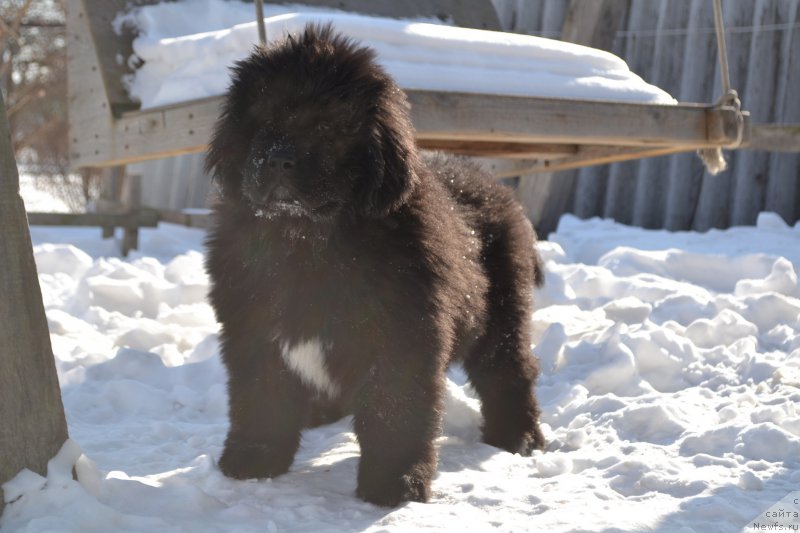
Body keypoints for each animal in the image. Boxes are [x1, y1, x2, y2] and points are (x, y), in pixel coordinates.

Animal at [203, 26, 548, 508]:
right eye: (264, 123)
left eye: (325, 127)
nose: (277, 160)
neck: (306, 241)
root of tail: (496, 187)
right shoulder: (253, 331)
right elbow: (261, 397)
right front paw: (254, 459)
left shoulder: (400, 337)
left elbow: (394, 412)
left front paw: (393, 483)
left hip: (502, 311)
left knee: (509, 372)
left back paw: (518, 438)